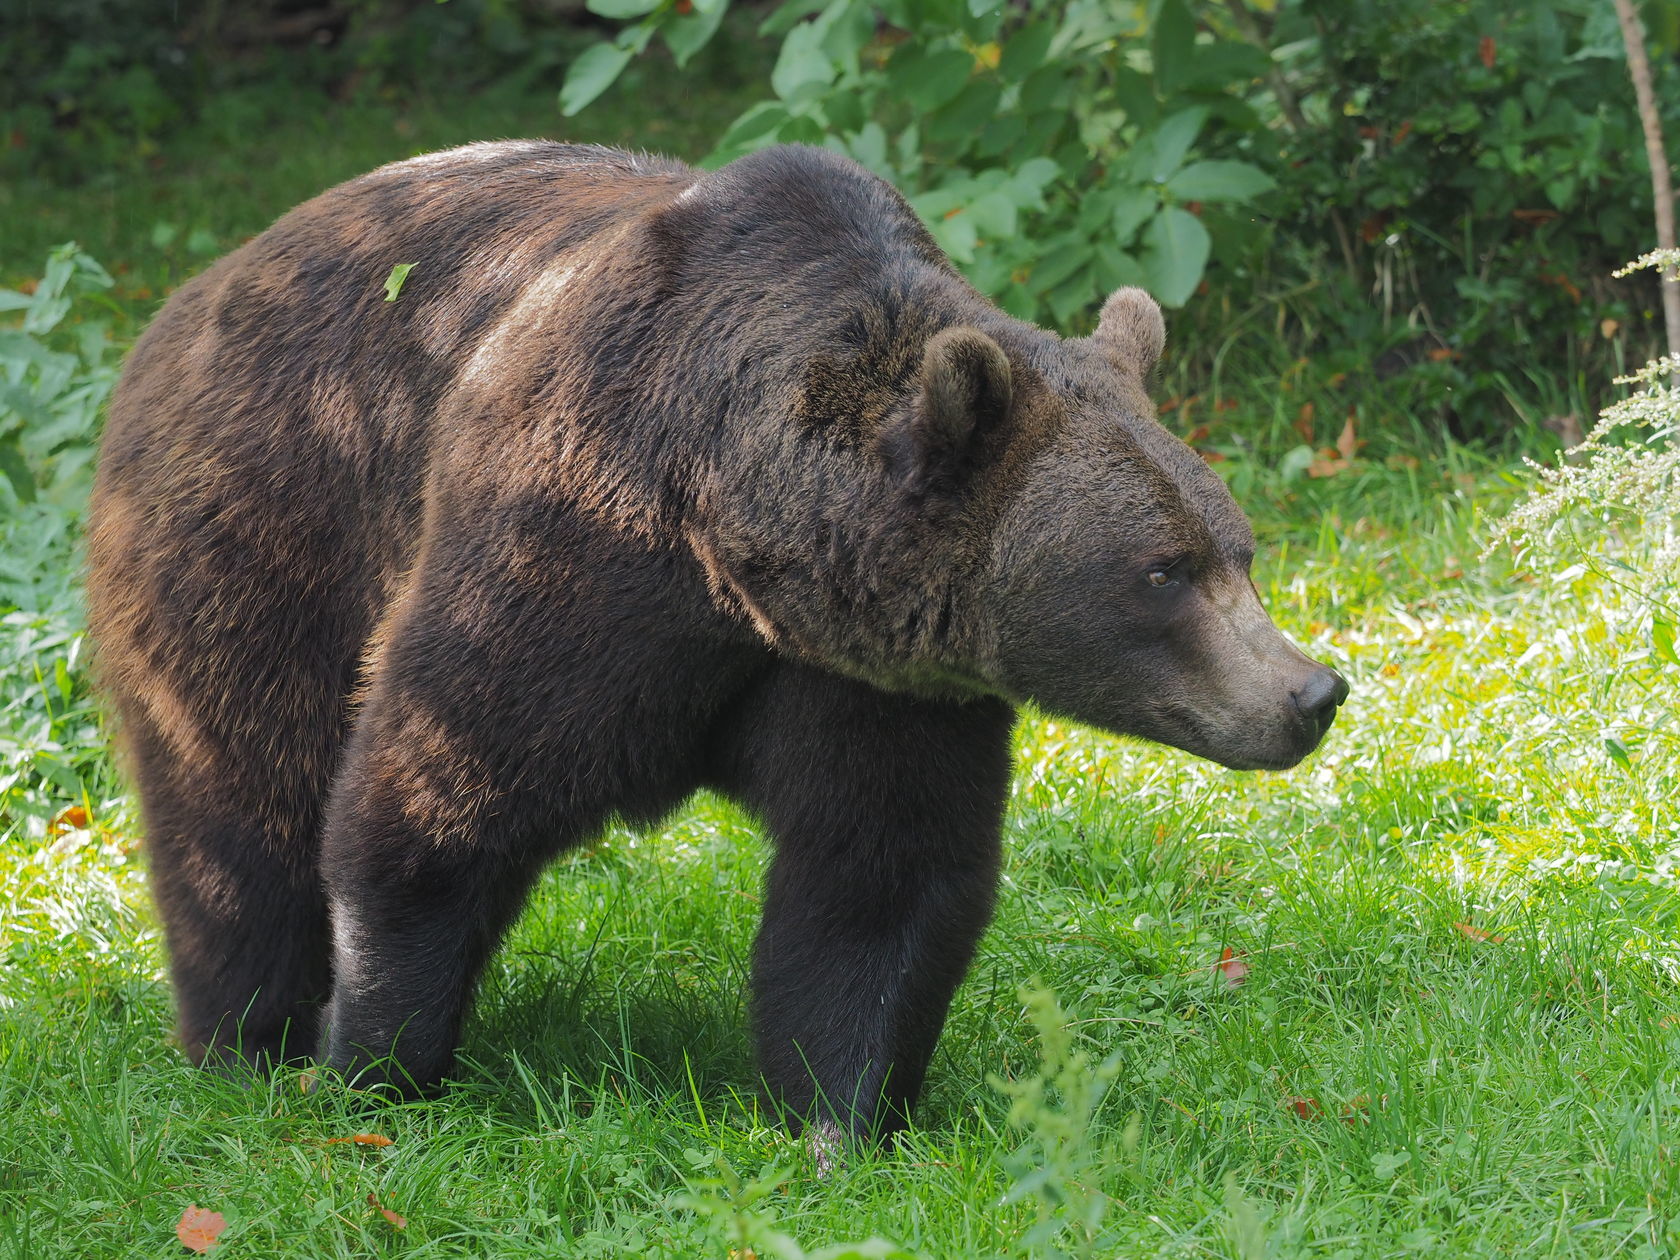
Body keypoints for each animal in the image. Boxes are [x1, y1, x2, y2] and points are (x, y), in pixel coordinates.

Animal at [81, 140, 1350, 1142]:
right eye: (1162, 571)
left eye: (1238, 548)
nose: (1311, 691)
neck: (740, 544)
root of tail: (200, 286)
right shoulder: (564, 562)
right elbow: (432, 804)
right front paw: (372, 1069)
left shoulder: (873, 676)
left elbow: (877, 877)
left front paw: (839, 1118)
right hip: (262, 525)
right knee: (241, 791)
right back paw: (246, 1040)